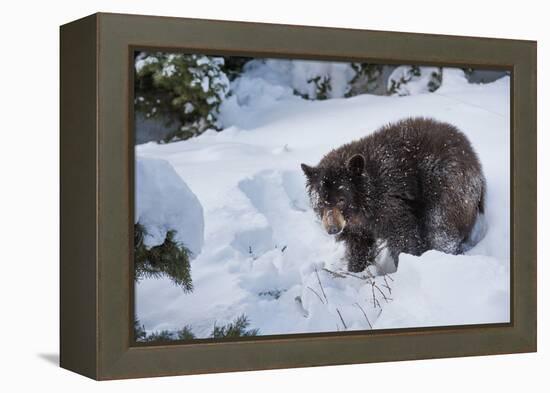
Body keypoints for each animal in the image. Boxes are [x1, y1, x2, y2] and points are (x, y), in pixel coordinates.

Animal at [302, 116, 488, 272]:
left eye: (341, 199)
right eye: (321, 202)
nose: (332, 229)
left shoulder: (389, 202)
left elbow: (402, 236)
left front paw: (404, 266)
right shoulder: (356, 226)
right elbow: (359, 245)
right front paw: (356, 270)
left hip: (447, 186)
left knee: (440, 228)